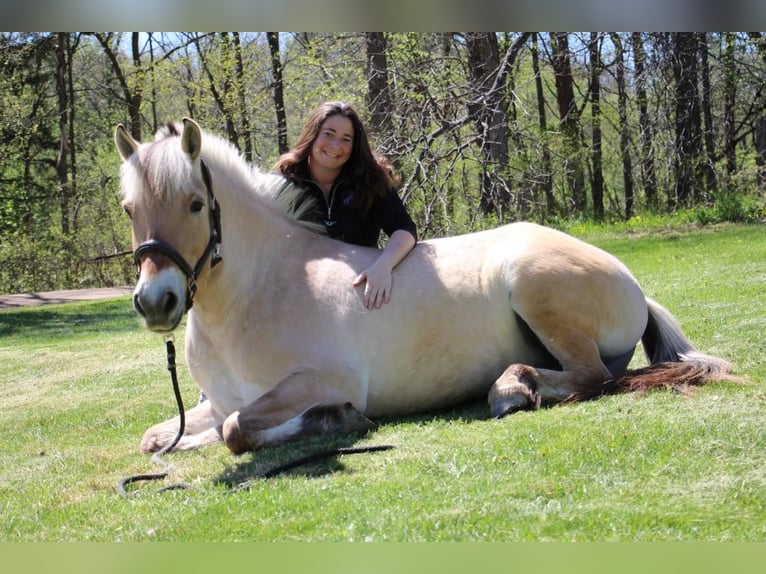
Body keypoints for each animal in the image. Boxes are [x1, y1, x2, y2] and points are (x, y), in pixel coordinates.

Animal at [114, 118, 736, 460]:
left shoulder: (318, 381)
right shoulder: (216, 402)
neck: (261, 290)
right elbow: (163, 436)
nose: (156, 302)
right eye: (128, 208)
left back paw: (511, 389)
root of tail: (631, 282)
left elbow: (239, 430)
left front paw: (338, 421)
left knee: (591, 378)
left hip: (536, 289)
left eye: (196, 204)